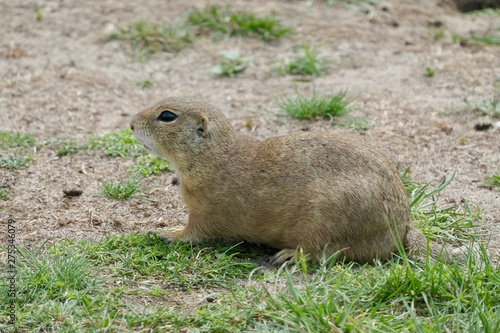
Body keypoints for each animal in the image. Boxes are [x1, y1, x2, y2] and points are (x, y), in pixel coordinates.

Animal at [130, 97, 464, 264]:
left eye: (167, 116)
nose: (131, 123)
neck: (215, 155)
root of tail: (404, 227)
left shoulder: (206, 210)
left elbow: (194, 233)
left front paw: (165, 232)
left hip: (327, 223)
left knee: (332, 253)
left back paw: (289, 255)